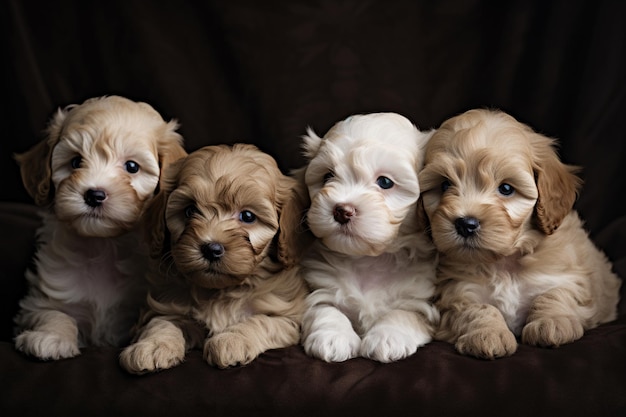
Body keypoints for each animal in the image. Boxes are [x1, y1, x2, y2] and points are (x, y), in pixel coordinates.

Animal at [13, 96, 185, 360]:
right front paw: (51, 337)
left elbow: (160, 320)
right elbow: (54, 313)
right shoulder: (41, 299)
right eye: (75, 162)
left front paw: (157, 346)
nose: (94, 195)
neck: (105, 244)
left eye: (132, 167)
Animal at [118, 144, 308, 370]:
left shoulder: (288, 318)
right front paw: (151, 346)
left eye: (248, 216)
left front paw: (231, 340)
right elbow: (161, 323)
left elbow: (260, 321)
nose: (211, 248)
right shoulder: (164, 305)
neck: (219, 292)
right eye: (190, 210)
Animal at [298, 113, 438, 360]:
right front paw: (332, 336)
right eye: (327, 176)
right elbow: (324, 309)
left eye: (385, 182)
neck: (369, 259)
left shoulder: (421, 299)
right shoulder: (320, 287)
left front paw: (388, 336)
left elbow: (404, 313)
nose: (342, 210)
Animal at [420, 109, 620, 360]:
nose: (466, 224)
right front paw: (488, 334)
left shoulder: (569, 276)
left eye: (506, 189)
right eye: (445, 185)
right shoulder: (456, 292)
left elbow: (555, 293)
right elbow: (476, 308)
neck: (504, 263)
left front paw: (552, 322)